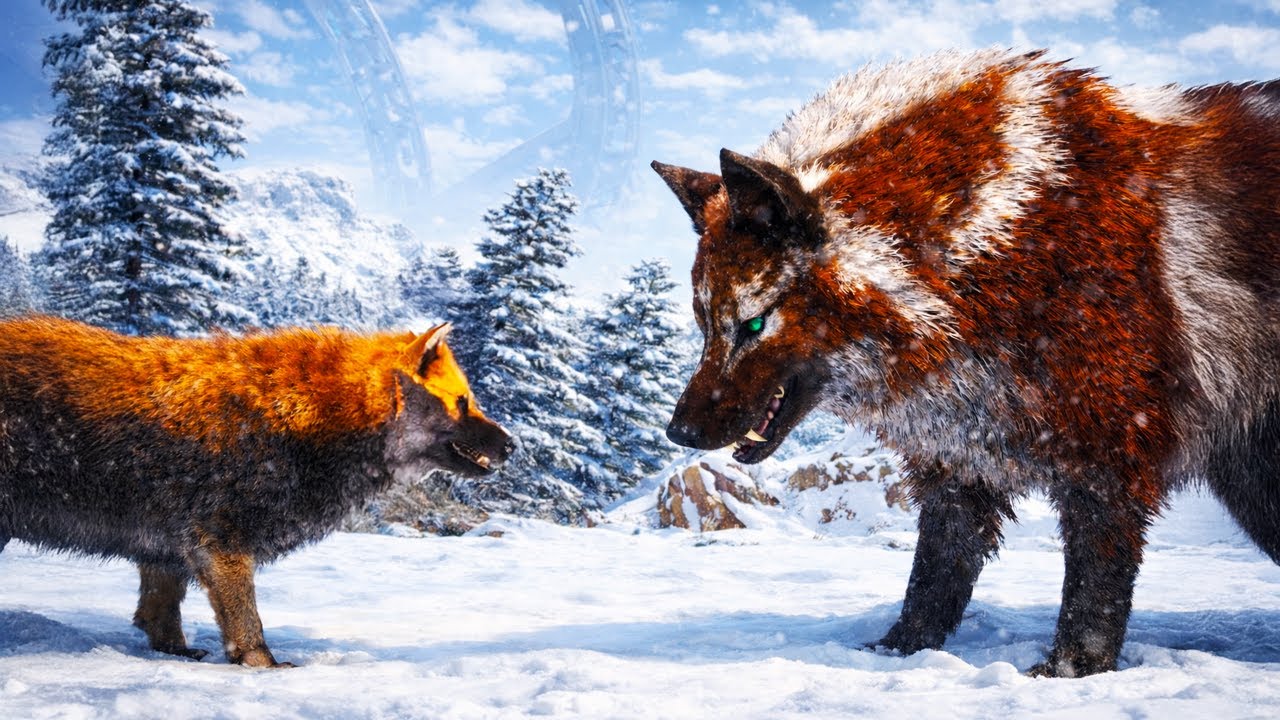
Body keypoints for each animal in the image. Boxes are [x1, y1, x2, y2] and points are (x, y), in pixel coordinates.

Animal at [0, 316, 511, 667]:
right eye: (463, 402)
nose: (513, 444)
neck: (313, 417)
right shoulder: (220, 545)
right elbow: (245, 621)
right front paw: (261, 663)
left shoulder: (167, 552)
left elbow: (159, 617)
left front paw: (179, 654)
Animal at [652, 48, 1280, 677]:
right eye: (704, 322)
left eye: (754, 324)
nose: (679, 432)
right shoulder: (957, 464)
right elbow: (933, 580)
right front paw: (896, 652)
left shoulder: (1109, 457)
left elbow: (1093, 588)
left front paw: (1070, 671)